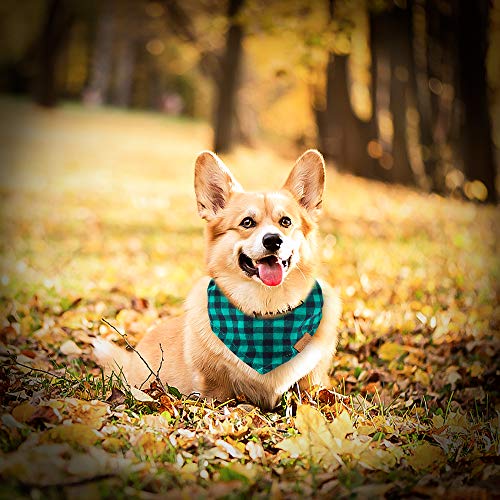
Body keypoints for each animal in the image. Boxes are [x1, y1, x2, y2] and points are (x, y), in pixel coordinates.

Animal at [94, 149, 342, 410]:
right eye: (247, 222)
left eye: (286, 221)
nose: (273, 240)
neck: (266, 311)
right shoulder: (213, 383)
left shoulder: (312, 380)